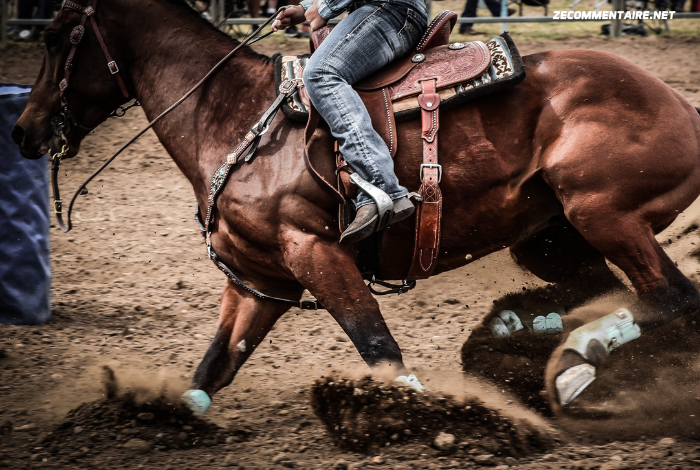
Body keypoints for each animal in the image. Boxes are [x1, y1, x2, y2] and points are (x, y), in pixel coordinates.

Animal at [10, 0, 700, 412]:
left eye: (58, 37)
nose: (22, 131)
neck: (231, 116)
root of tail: (684, 106)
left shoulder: (316, 253)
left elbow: (380, 350)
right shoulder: (261, 280)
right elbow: (212, 371)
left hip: (602, 214)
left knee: (670, 296)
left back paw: (577, 358)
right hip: (550, 238)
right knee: (608, 293)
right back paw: (528, 334)